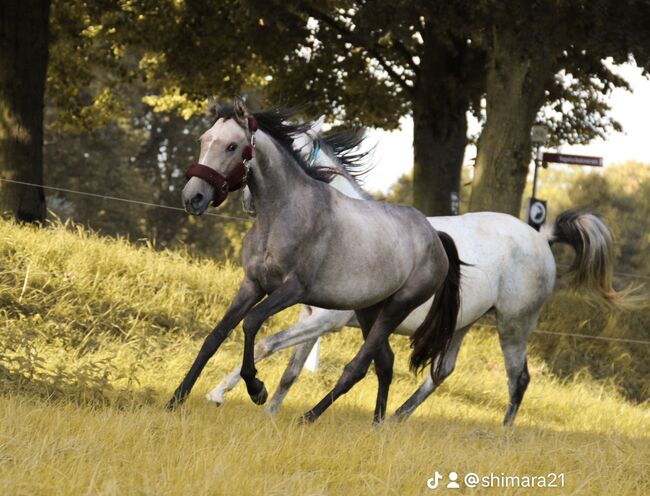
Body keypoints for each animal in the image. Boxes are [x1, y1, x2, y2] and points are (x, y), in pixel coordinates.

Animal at [167, 99, 460, 424]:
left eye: (232, 146)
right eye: (203, 140)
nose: (193, 197)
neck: (282, 214)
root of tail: (435, 237)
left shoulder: (294, 290)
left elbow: (252, 323)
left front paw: (257, 390)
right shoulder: (252, 285)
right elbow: (215, 336)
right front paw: (176, 399)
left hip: (397, 308)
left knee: (358, 367)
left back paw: (309, 417)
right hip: (369, 310)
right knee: (385, 363)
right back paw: (376, 424)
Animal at [204, 118, 628, 424]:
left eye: (238, 147)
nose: (246, 203)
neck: (342, 225)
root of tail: (541, 236)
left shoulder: (326, 321)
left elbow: (265, 344)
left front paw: (221, 393)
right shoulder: (312, 317)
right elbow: (290, 370)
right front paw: (270, 411)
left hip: (513, 326)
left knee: (518, 378)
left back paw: (503, 433)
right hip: (462, 324)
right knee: (443, 372)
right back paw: (397, 417)